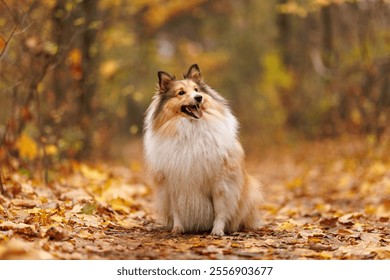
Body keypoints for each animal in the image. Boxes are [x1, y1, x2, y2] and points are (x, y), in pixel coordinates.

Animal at [143, 64, 262, 235]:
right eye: (181, 92)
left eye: (197, 89)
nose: (199, 97)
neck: (191, 129)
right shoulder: (173, 182)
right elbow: (177, 209)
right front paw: (178, 228)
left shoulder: (220, 183)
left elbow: (220, 209)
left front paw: (217, 230)